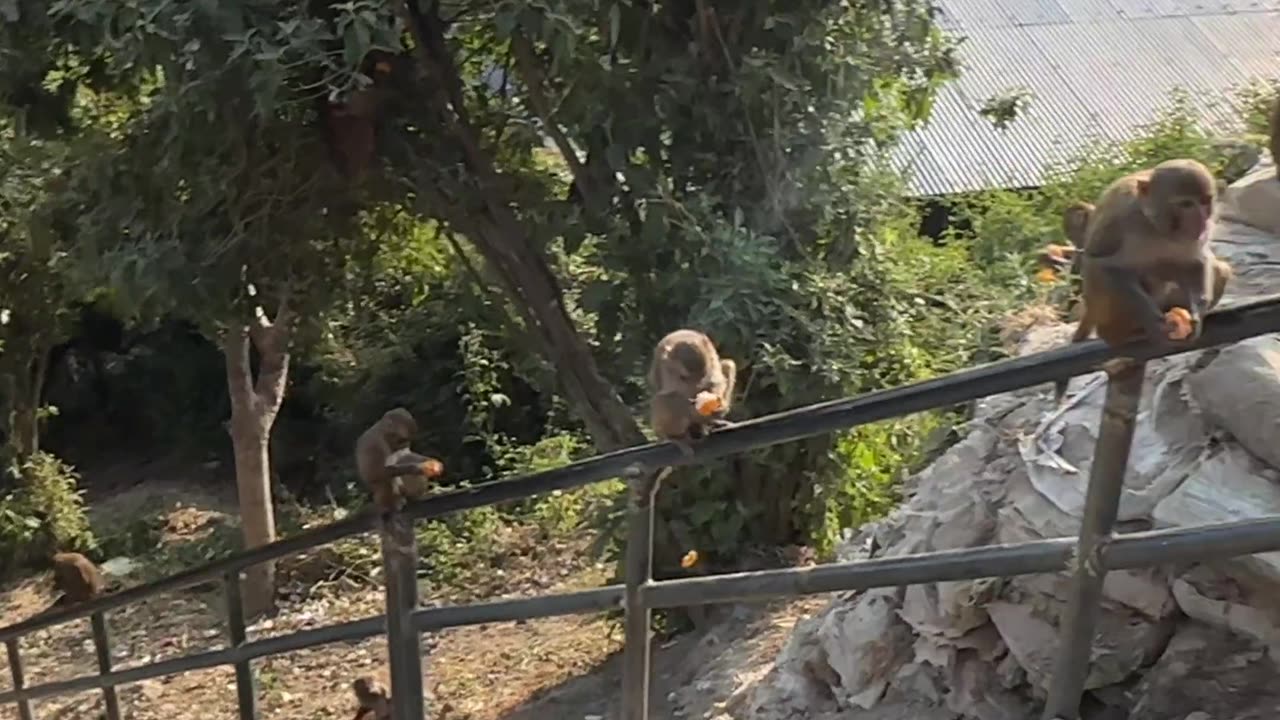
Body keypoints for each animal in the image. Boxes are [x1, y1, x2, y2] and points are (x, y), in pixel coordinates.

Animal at [1049, 158, 1239, 404]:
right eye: (1186, 204)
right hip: (1103, 309)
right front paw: (1153, 320)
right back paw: (1122, 333)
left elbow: (1197, 261)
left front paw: (1196, 315)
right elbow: (1102, 266)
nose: (1201, 220)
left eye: (1205, 201)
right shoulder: (1119, 218)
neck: (1152, 223)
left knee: (1217, 269)